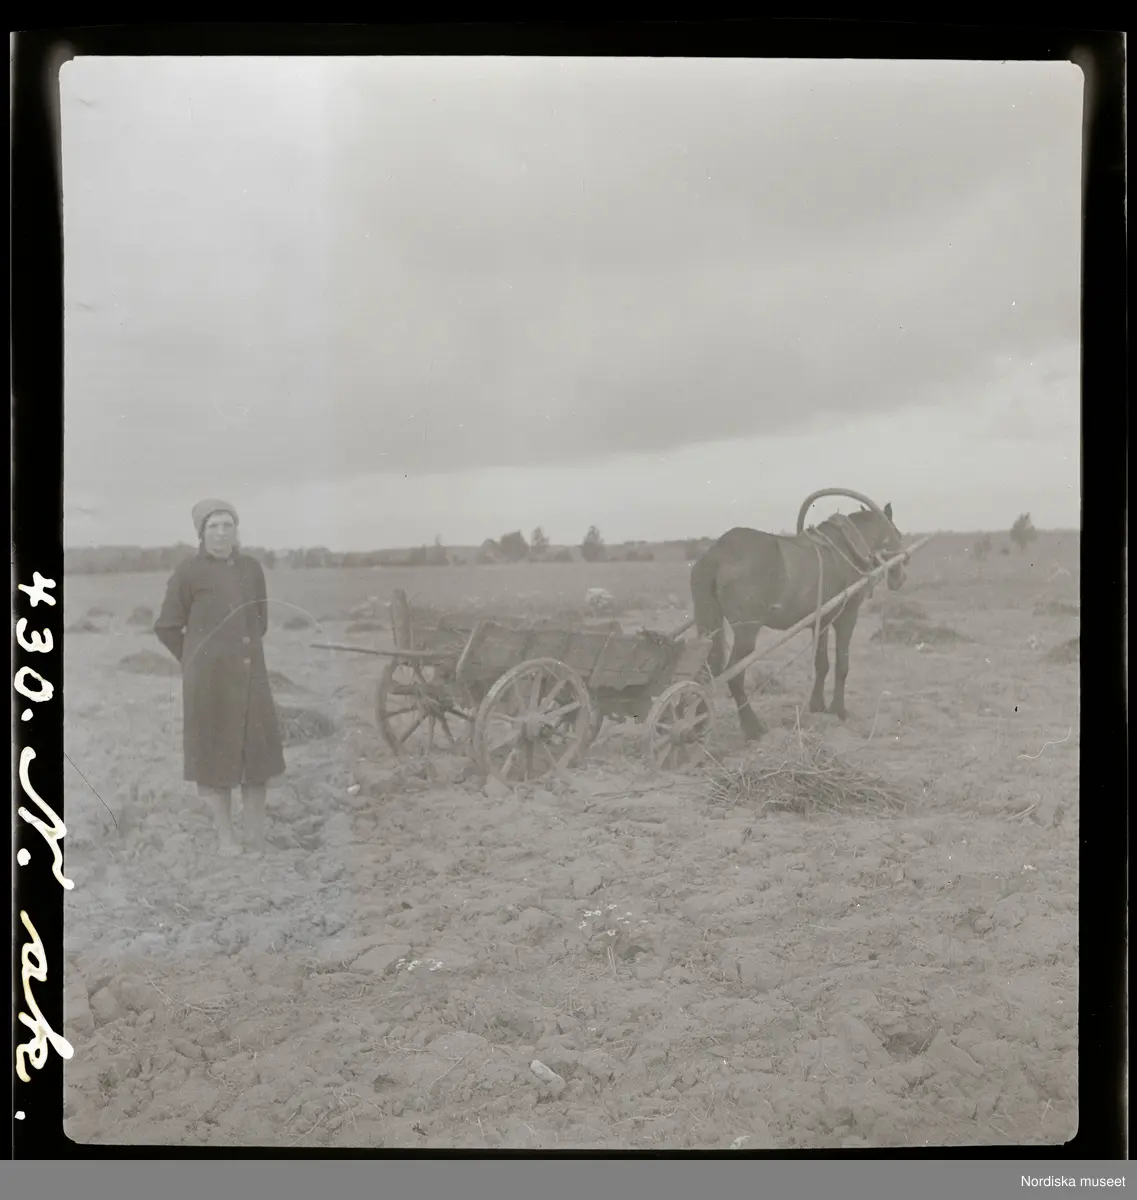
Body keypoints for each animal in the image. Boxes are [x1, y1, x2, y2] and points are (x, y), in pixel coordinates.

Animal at [690, 497, 908, 741]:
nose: (900, 578)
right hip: (746, 632)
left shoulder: (821, 621)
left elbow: (821, 663)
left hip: (709, 626)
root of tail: (716, 555)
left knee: (705, 670)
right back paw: (753, 727)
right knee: (734, 676)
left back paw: (697, 724)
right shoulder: (847, 616)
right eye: (897, 534)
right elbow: (842, 664)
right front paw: (839, 710)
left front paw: (817, 705)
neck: (848, 546)